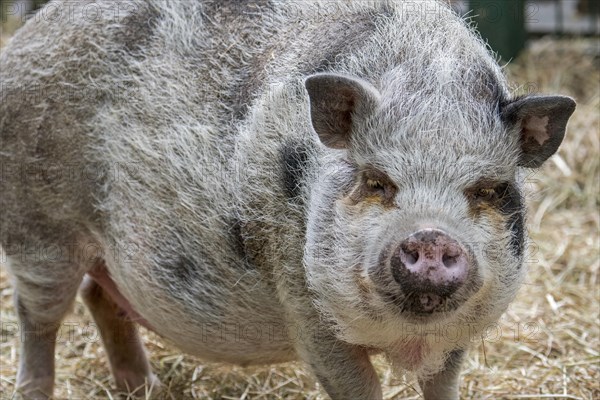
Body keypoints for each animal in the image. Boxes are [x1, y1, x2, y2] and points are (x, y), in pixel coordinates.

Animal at [0, 0, 576, 400]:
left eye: (487, 190)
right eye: (376, 182)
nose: (431, 237)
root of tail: (28, 36)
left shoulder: (463, 331)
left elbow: (442, 384)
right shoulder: (302, 301)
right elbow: (359, 386)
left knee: (100, 297)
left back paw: (143, 388)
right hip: (38, 229)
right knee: (39, 316)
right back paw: (37, 390)